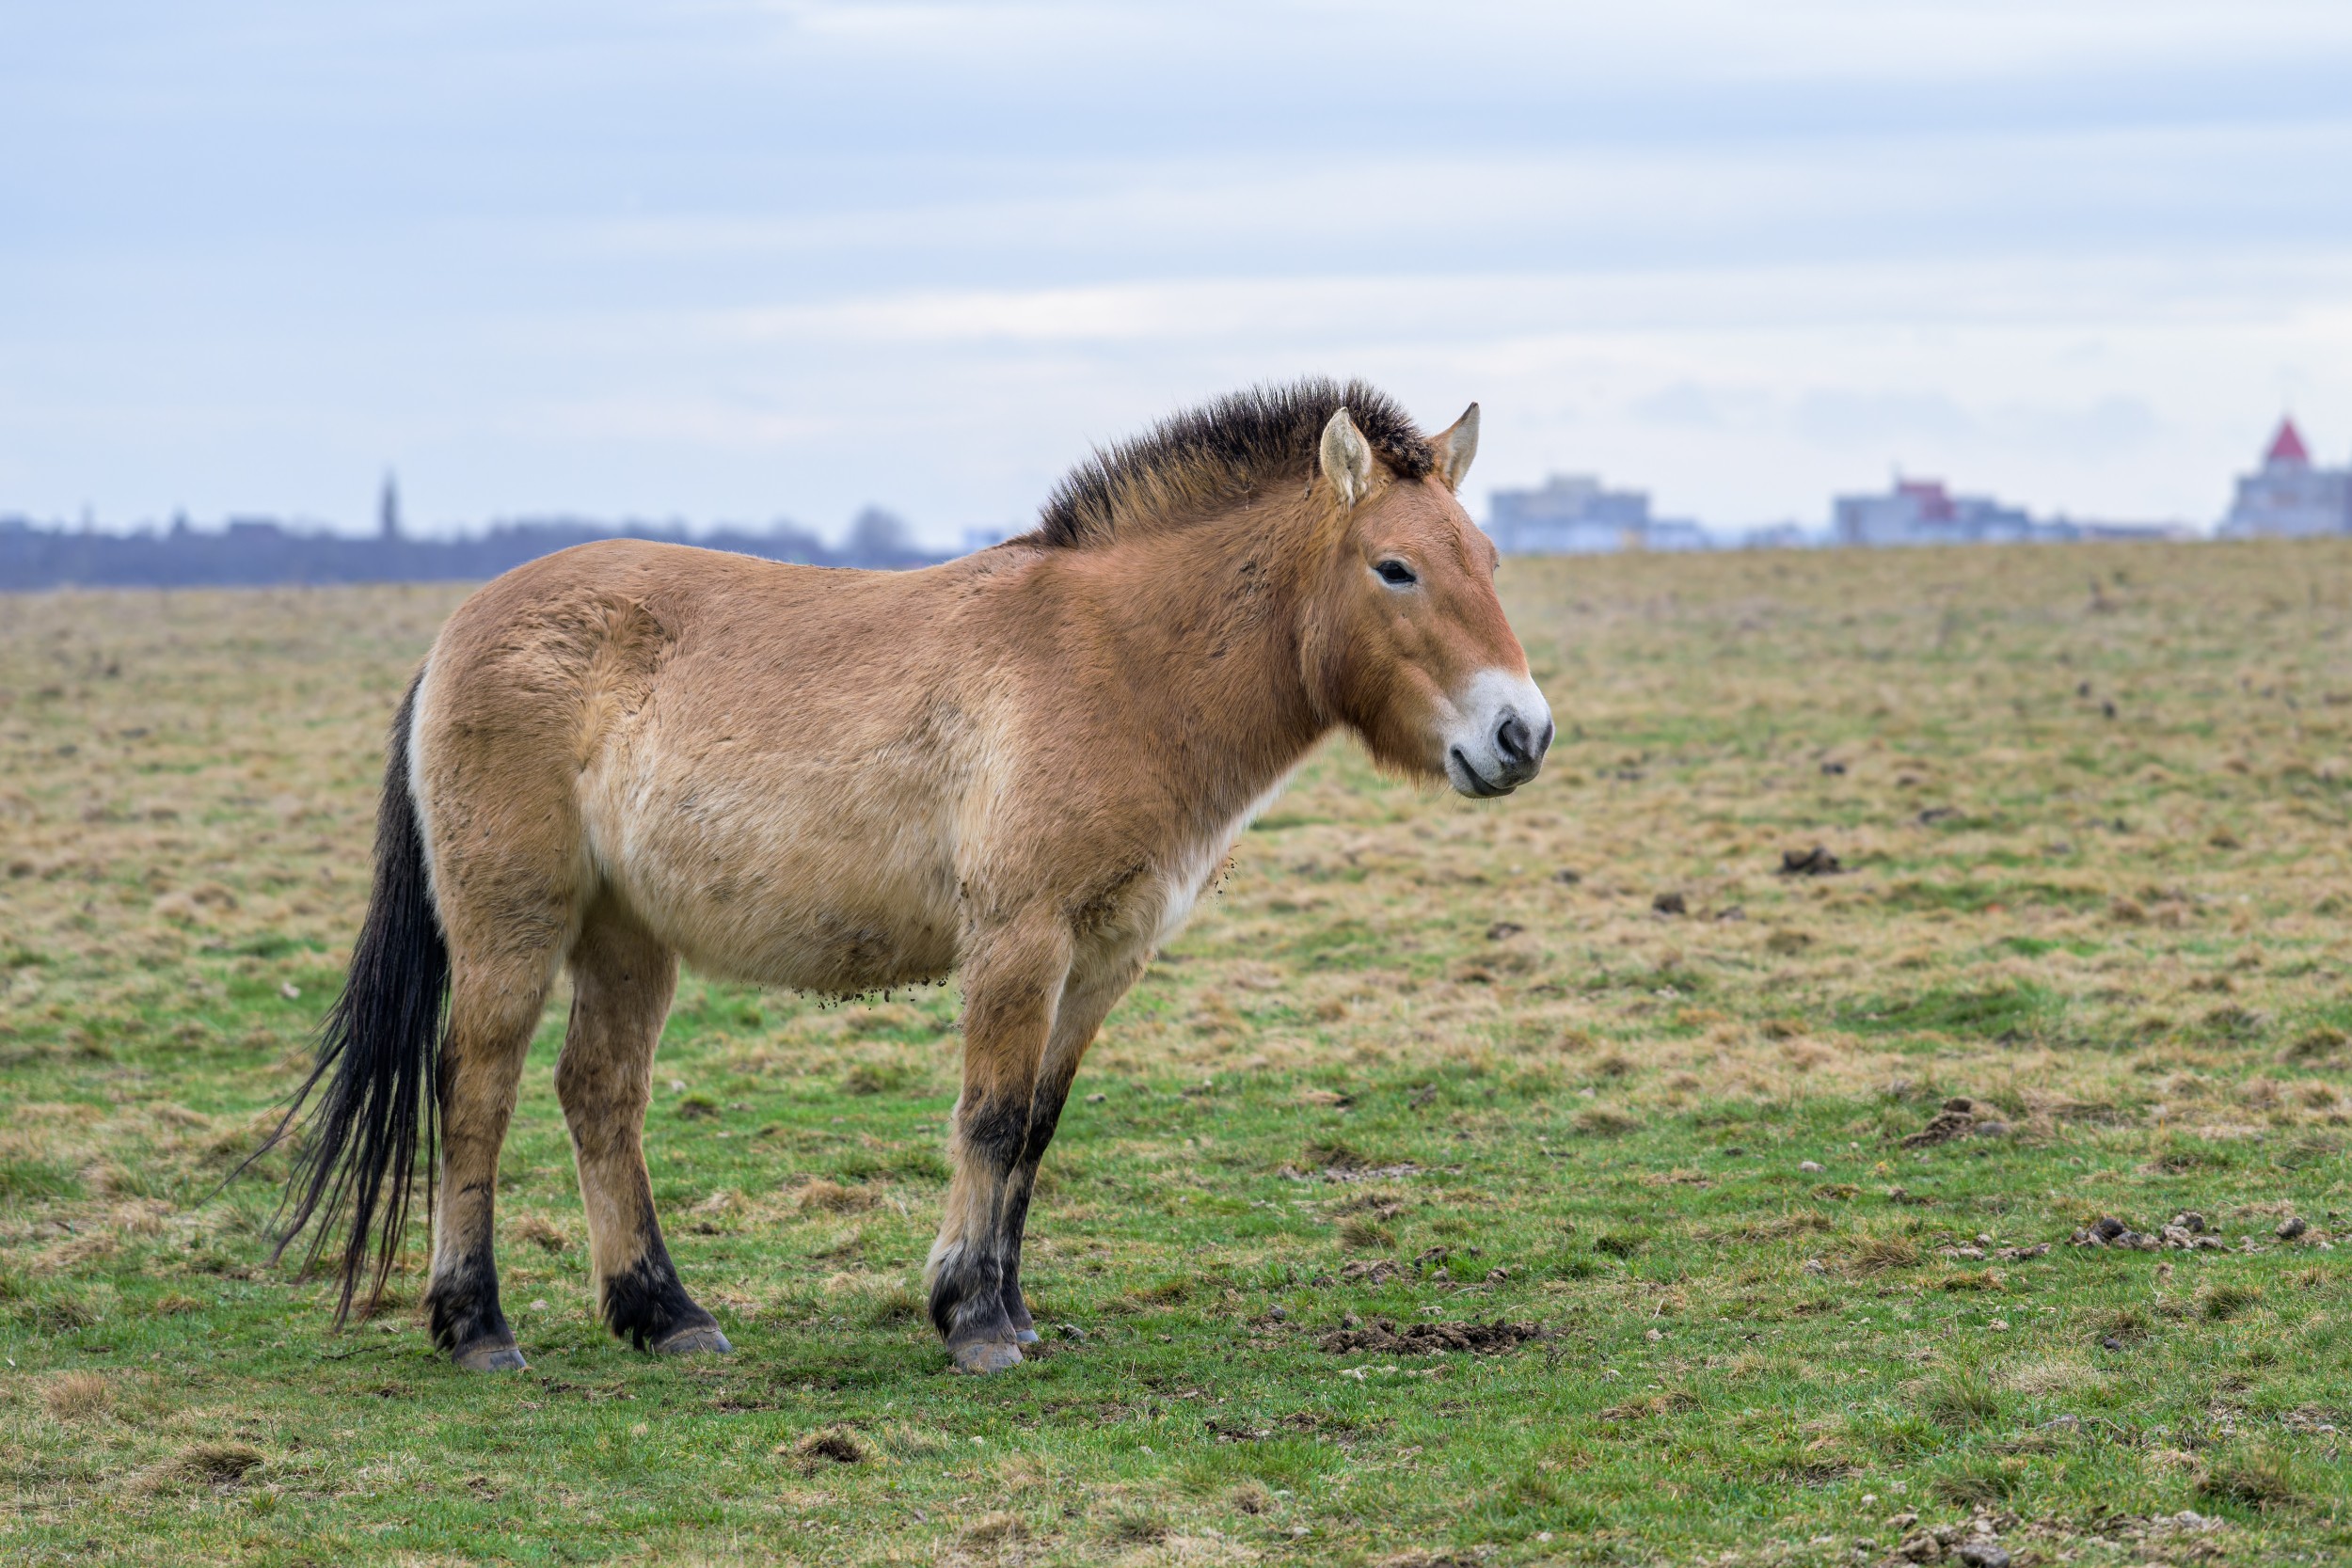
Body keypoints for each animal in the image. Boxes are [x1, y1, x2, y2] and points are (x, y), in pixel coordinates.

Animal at [270, 380, 1543, 1372]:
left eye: (1488, 560)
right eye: (1395, 568)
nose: (1521, 734)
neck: (1118, 662)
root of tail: (459, 631)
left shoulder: (1103, 957)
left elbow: (1036, 1128)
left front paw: (1012, 1311)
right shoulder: (1021, 939)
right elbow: (989, 1117)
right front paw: (971, 1318)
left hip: (628, 934)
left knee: (600, 1095)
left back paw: (664, 1313)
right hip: (513, 926)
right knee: (475, 1091)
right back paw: (475, 1324)